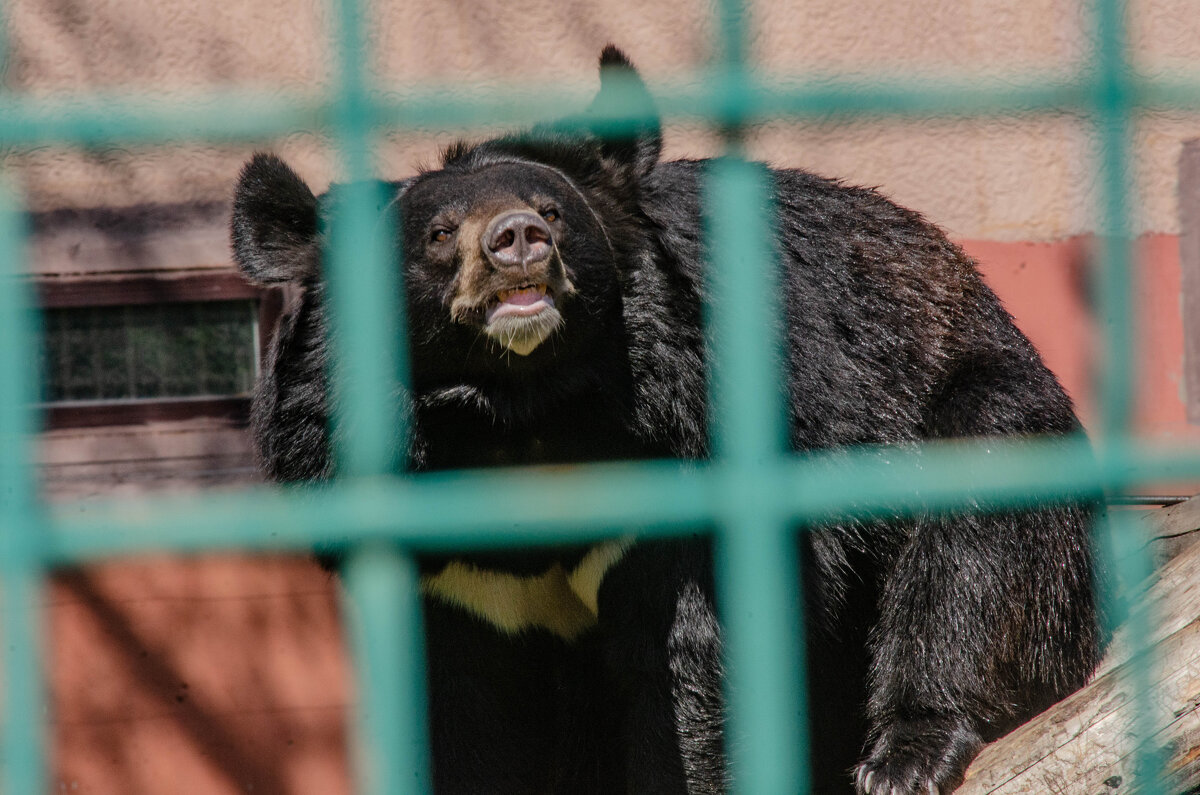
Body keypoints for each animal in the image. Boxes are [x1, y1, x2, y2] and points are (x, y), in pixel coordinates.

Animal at [229, 46, 1099, 792]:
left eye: (553, 210)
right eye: (440, 233)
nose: (519, 240)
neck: (523, 414)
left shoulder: (685, 457)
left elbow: (693, 666)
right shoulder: (435, 556)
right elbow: (465, 712)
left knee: (977, 531)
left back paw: (907, 753)